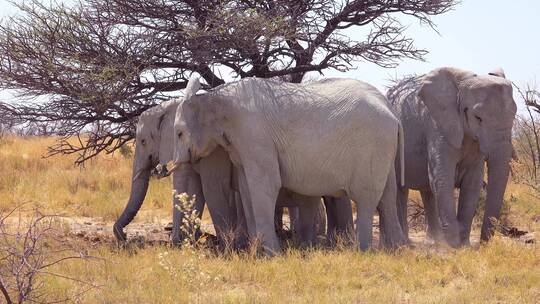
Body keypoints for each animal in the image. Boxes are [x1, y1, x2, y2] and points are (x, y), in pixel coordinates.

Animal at [172, 77, 404, 253]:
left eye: (179, 133)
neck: (211, 98)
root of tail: (391, 110)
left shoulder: (255, 135)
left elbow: (266, 186)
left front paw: (271, 254)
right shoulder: (242, 145)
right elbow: (247, 189)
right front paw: (257, 251)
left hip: (372, 144)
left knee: (366, 198)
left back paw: (362, 251)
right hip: (383, 149)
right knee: (387, 198)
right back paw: (396, 251)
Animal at [386, 67, 516, 247]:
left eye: (514, 116)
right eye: (478, 118)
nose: (483, 244)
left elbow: (472, 184)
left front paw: (464, 245)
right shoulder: (437, 126)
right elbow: (443, 178)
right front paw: (454, 246)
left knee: (428, 191)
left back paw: (433, 242)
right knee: (401, 190)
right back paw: (409, 243)